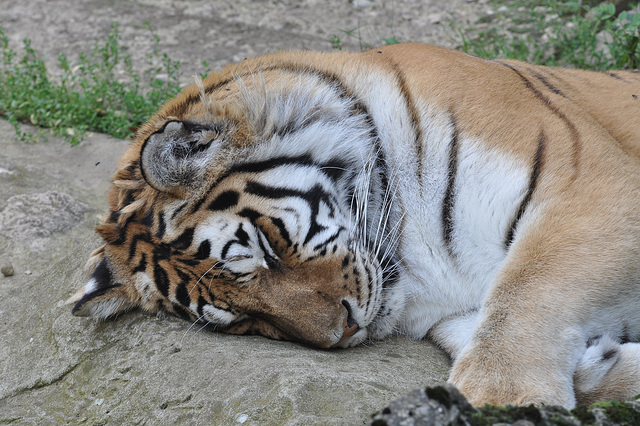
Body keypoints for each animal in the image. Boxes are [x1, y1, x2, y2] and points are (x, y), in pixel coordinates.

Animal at [67, 43, 640, 410]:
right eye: (245, 320)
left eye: (267, 249)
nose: (342, 332)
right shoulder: (450, 312)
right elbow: (491, 323)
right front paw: (604, 366)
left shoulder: (594, 185)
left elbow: (528, 291)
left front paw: (504, 399)